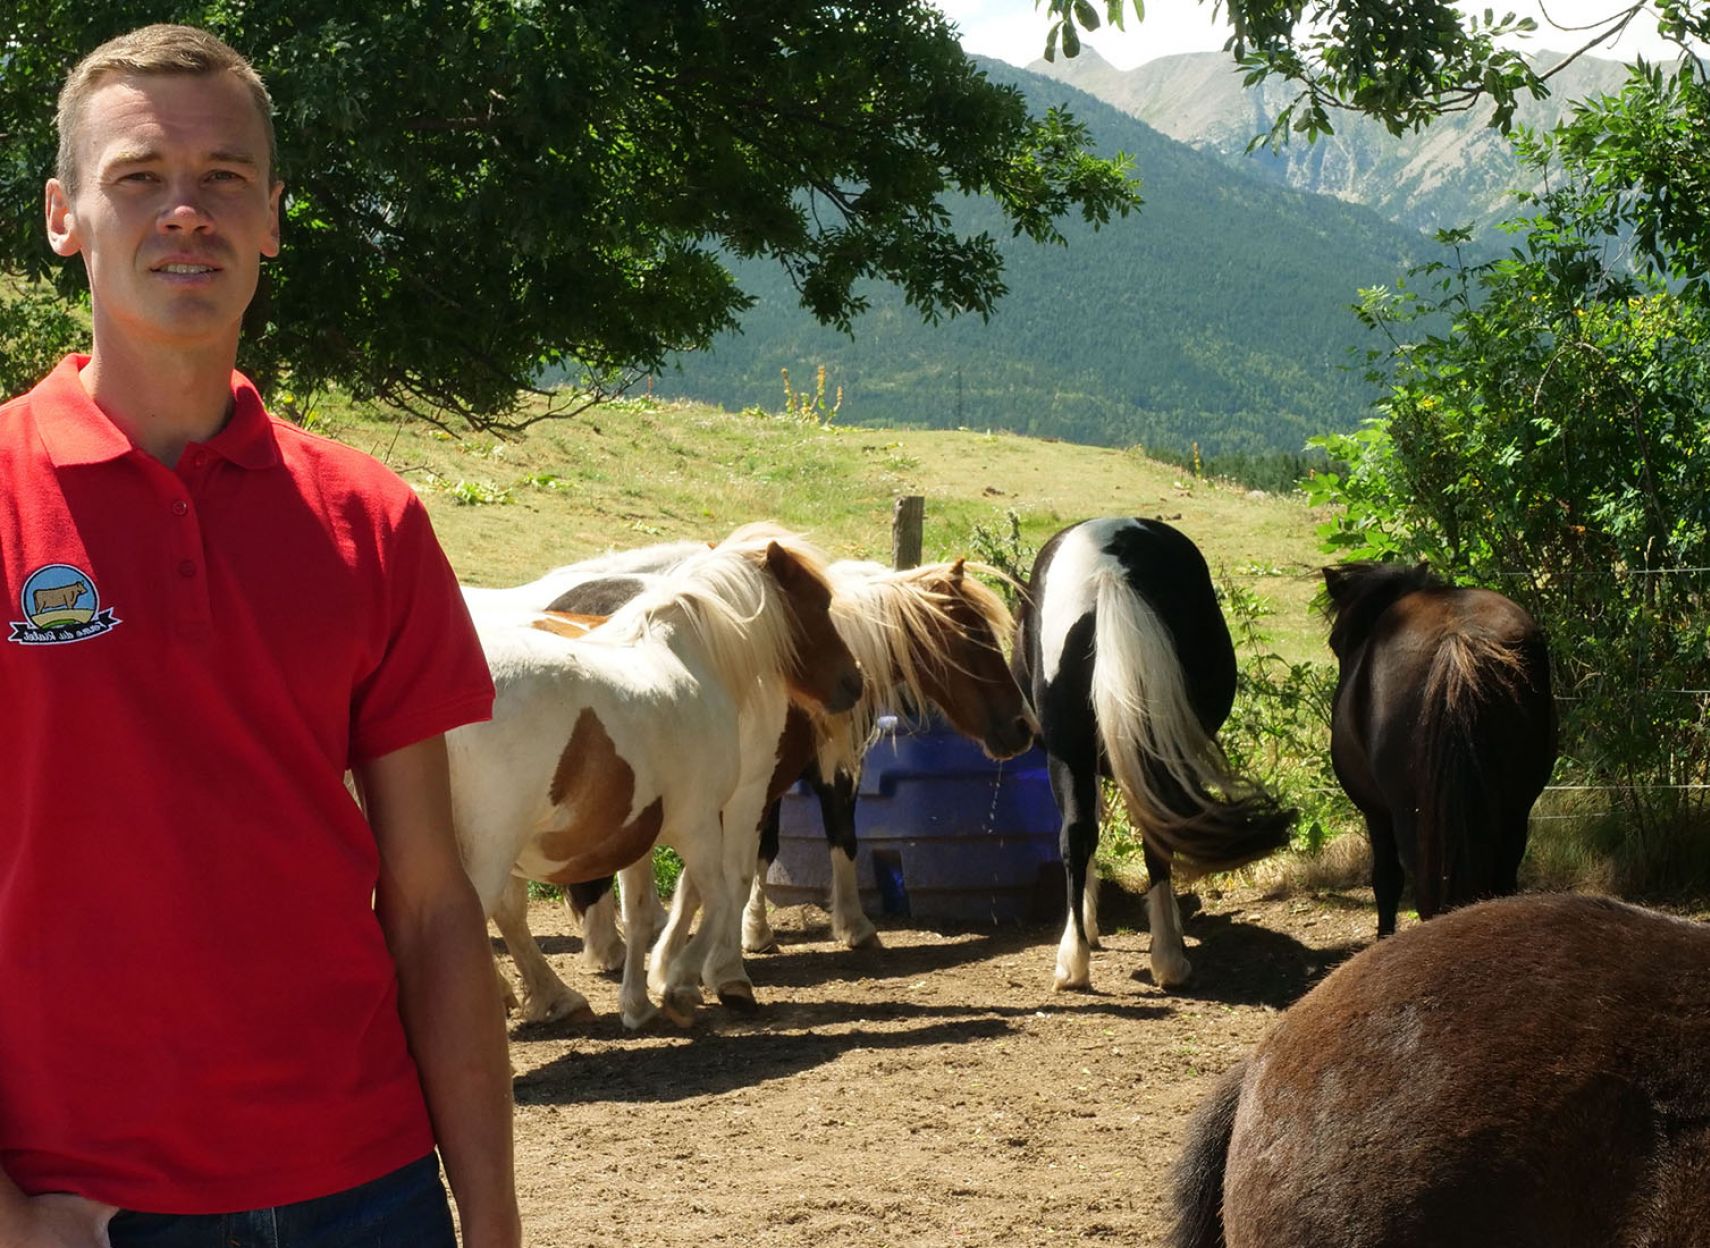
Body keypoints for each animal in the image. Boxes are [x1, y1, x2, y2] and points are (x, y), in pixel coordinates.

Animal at [448, 526, 861, 1018]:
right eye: (819, 602)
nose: (854, 682)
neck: (687, 660)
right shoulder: (701, 821)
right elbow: (719, 897)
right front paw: (681, 982)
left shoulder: (635, 832)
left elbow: (642, 911)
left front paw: (639, 1001)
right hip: (492, 852)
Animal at [1005, 516, 1285, 991]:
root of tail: (1110, 572)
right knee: (1143, 833)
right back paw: (1163, 957)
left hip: (1070, 752)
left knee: (1080, 834)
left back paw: (1081, 961)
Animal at [1326, 560, 1559, 930]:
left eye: (1335, 641)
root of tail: (1458, 637)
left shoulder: (1375, 812)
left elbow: (1386, 882)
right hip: (1514, 810)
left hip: (1414, 819)